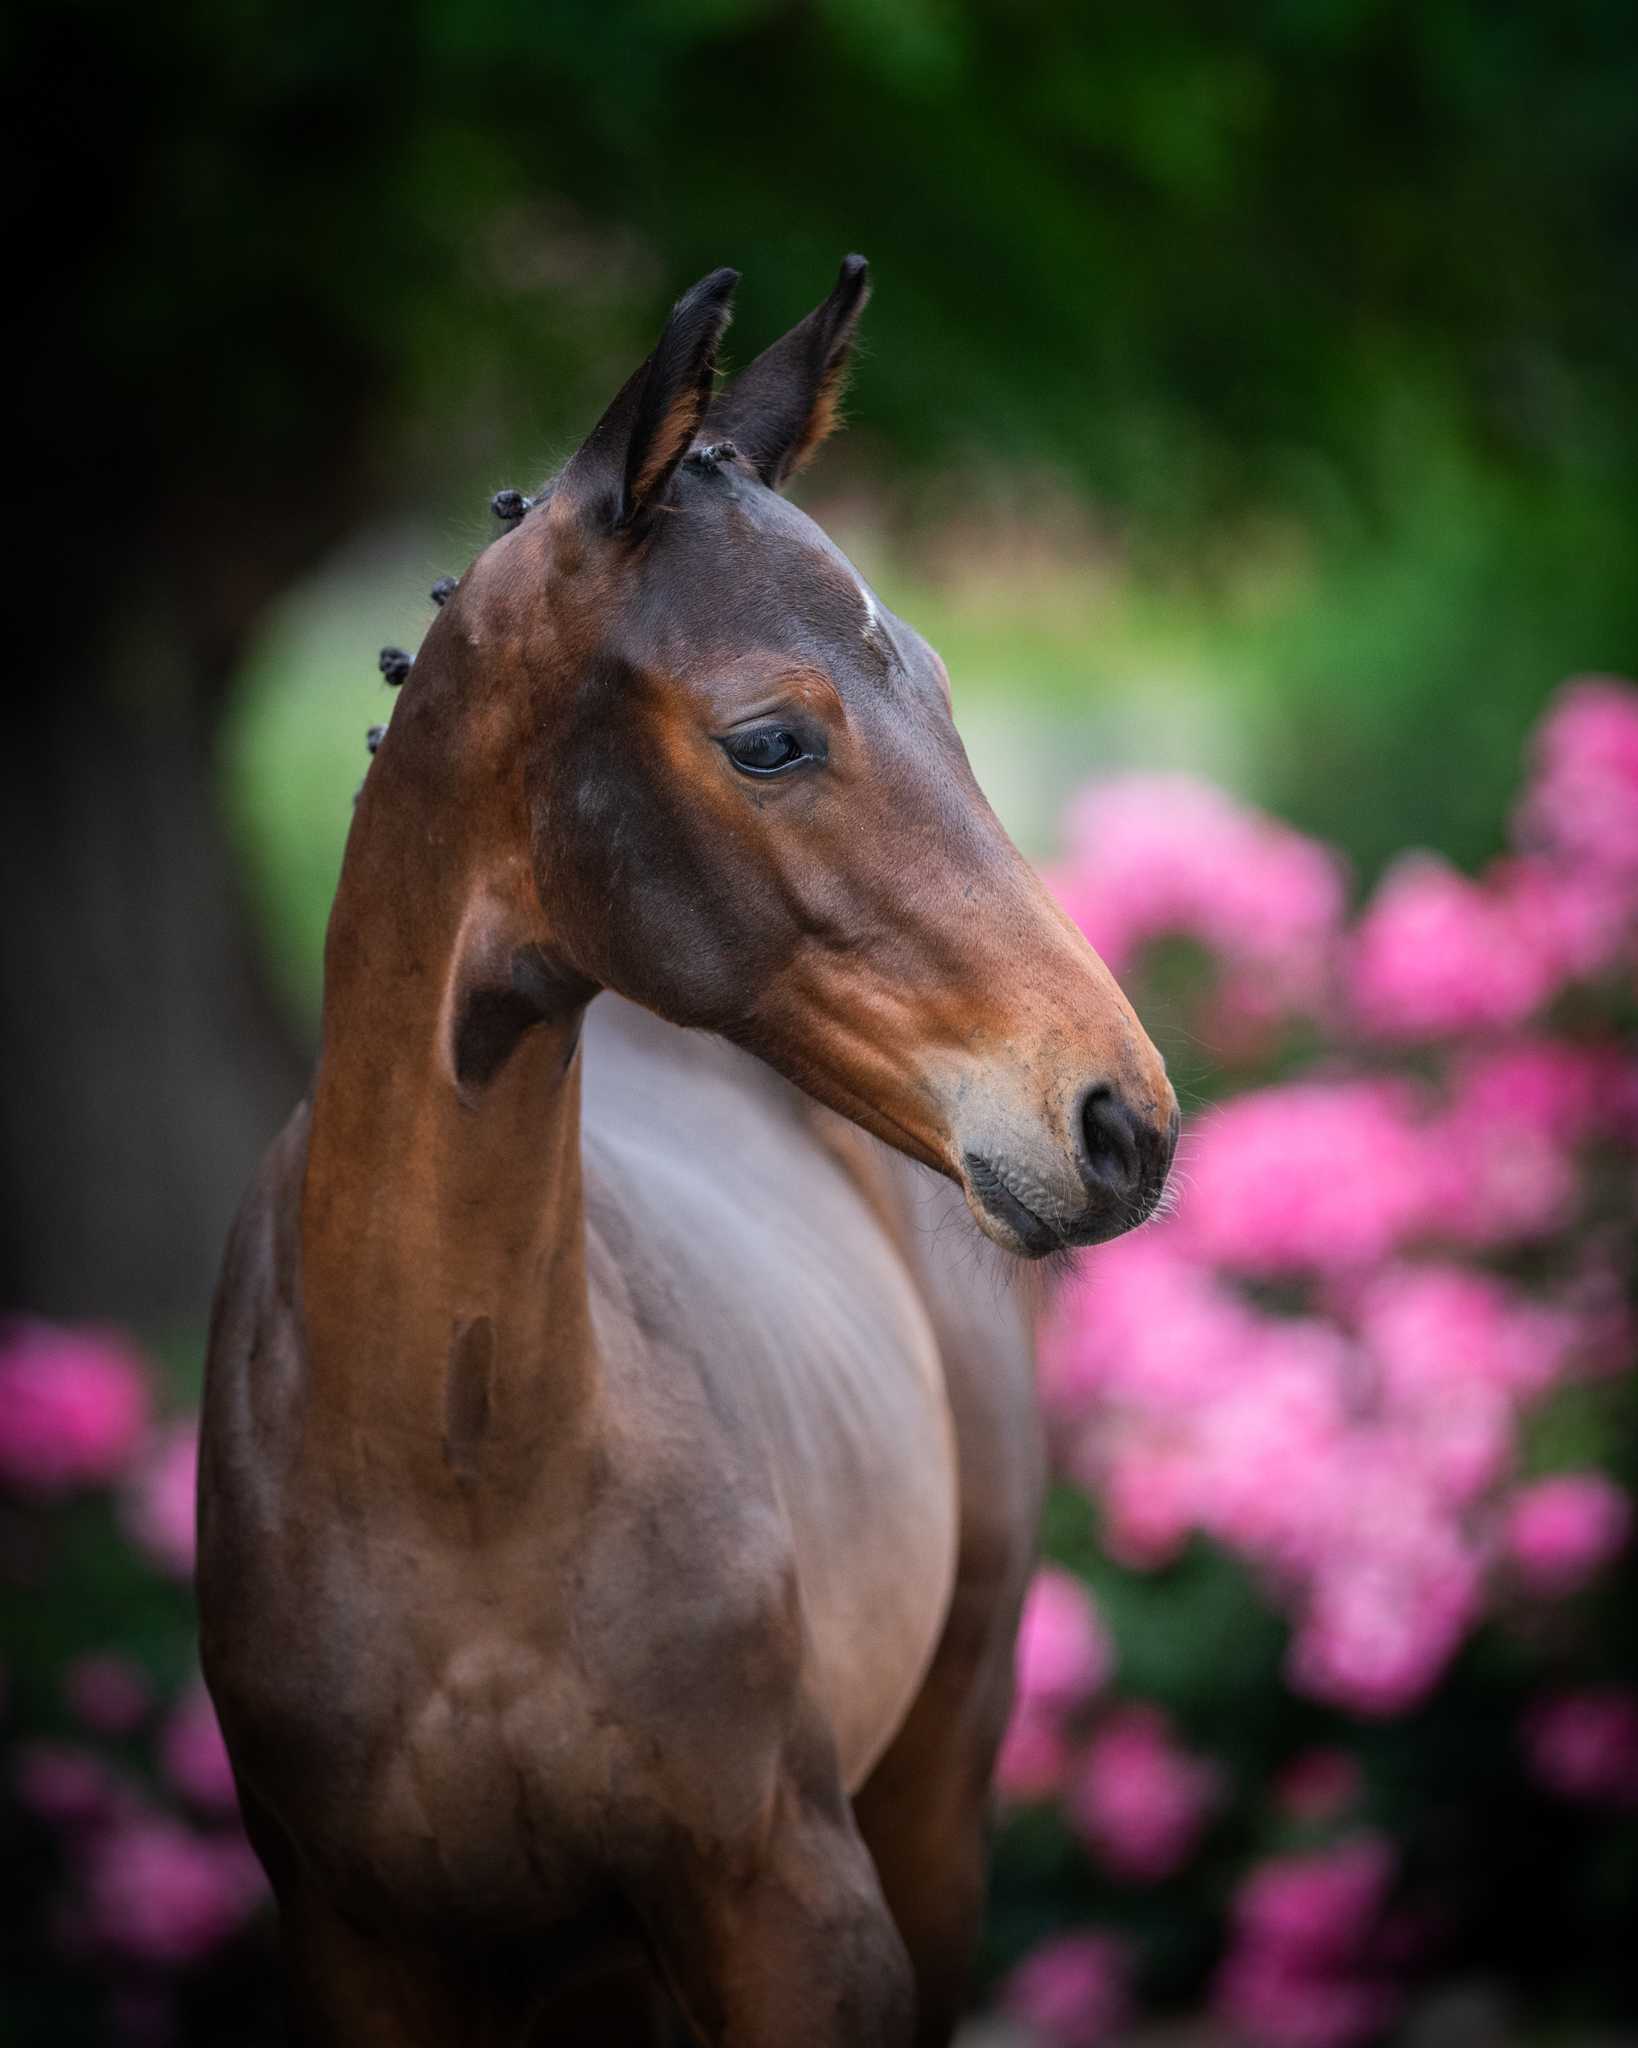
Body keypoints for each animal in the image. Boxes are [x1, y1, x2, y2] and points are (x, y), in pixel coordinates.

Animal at [199, 257, 1178, 2048]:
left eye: (941, 687)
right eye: (769, 739)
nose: (1119, 1119)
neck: (456, 1475)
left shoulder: (794, 1917)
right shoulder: (361, 1950)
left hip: (938, 1786)